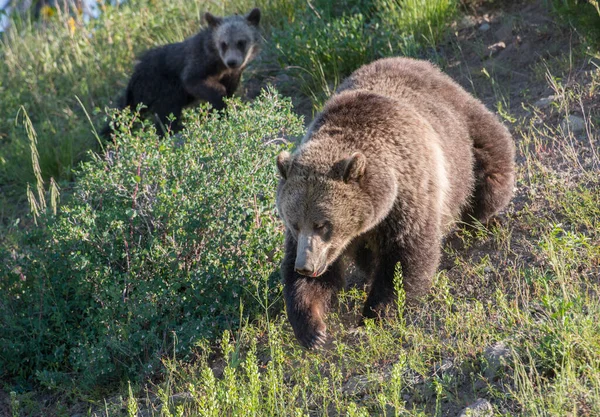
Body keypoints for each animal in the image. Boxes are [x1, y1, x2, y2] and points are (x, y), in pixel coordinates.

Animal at [101, 7, 260, 136]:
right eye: (224, 43)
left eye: (241, 42)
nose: (232, 62)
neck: (218, 63)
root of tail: (133, 76)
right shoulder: (197, 63)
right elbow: (194, 81)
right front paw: (219, 105)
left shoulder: (231, 75)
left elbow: (229, 89)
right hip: (158, 86)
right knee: (166, 110)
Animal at [276, 56, 516, 348]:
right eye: (294, 223)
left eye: (323, 224)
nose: (306, 267)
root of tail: (420, 62)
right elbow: (313, 275)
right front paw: (313, 330)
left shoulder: (408, 198)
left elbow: (405, 259)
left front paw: (372, 317)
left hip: (465, 138)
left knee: (490, 174)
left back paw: (486, 218)